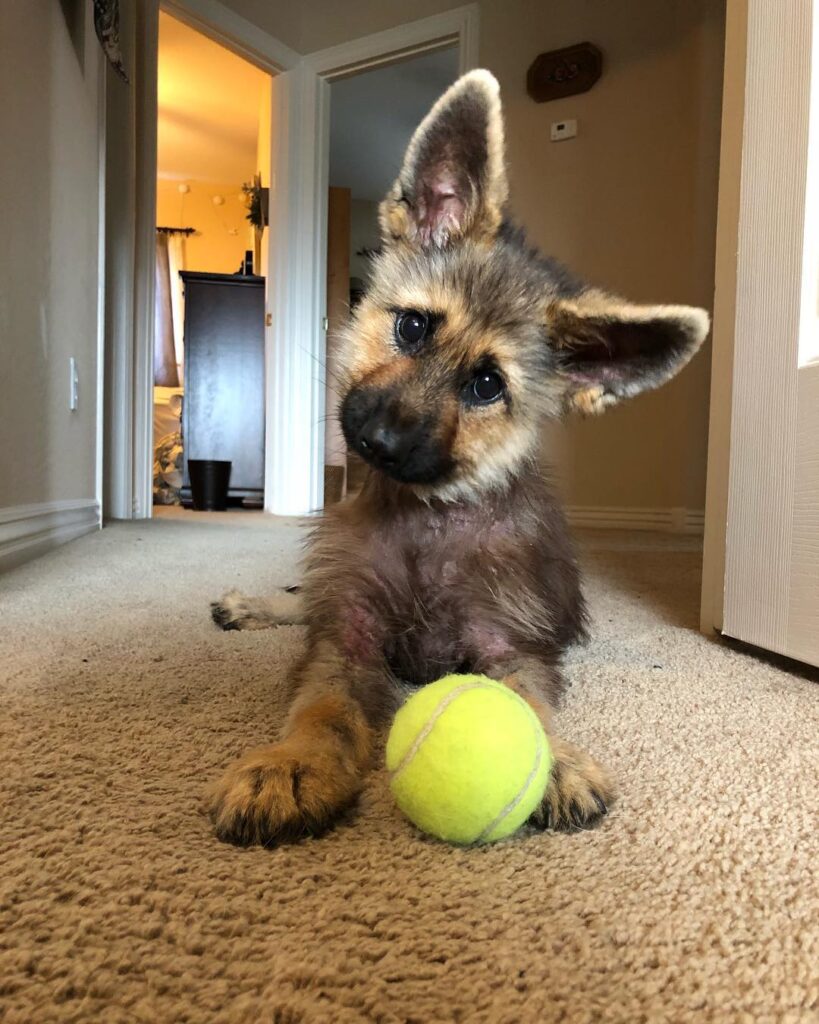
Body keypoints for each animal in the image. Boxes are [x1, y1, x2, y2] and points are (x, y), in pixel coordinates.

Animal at [208, 70, 709, 846]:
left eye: (486, 386)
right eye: (413, 327)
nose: (379, 443)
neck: (428, 519)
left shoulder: (508, 645)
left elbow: (525, 700)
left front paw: (553, 761)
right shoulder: (347, 634)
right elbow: (322, 703)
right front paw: (292, 764)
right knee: (304, 599)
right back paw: (250, 605)